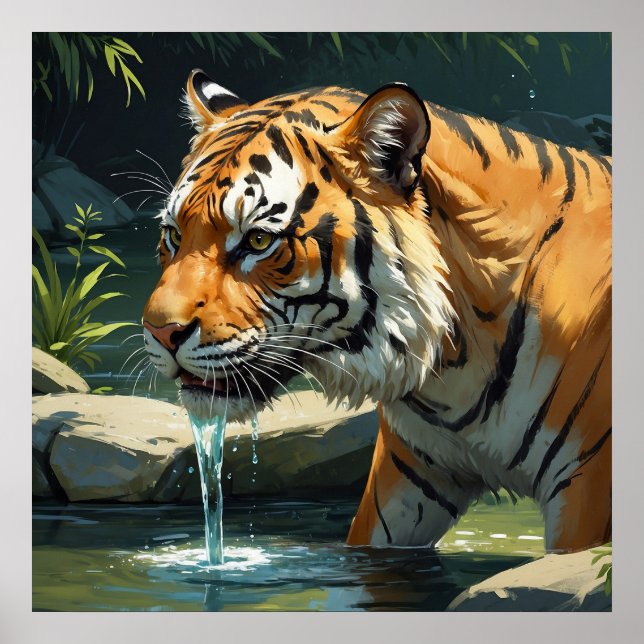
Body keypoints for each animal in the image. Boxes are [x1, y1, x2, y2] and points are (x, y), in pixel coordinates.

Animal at [142, 69, 612, 554]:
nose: (159, 332)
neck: (454, 363)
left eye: (257, 240)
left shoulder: (587, 489)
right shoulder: (409, 473)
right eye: (173, 234)